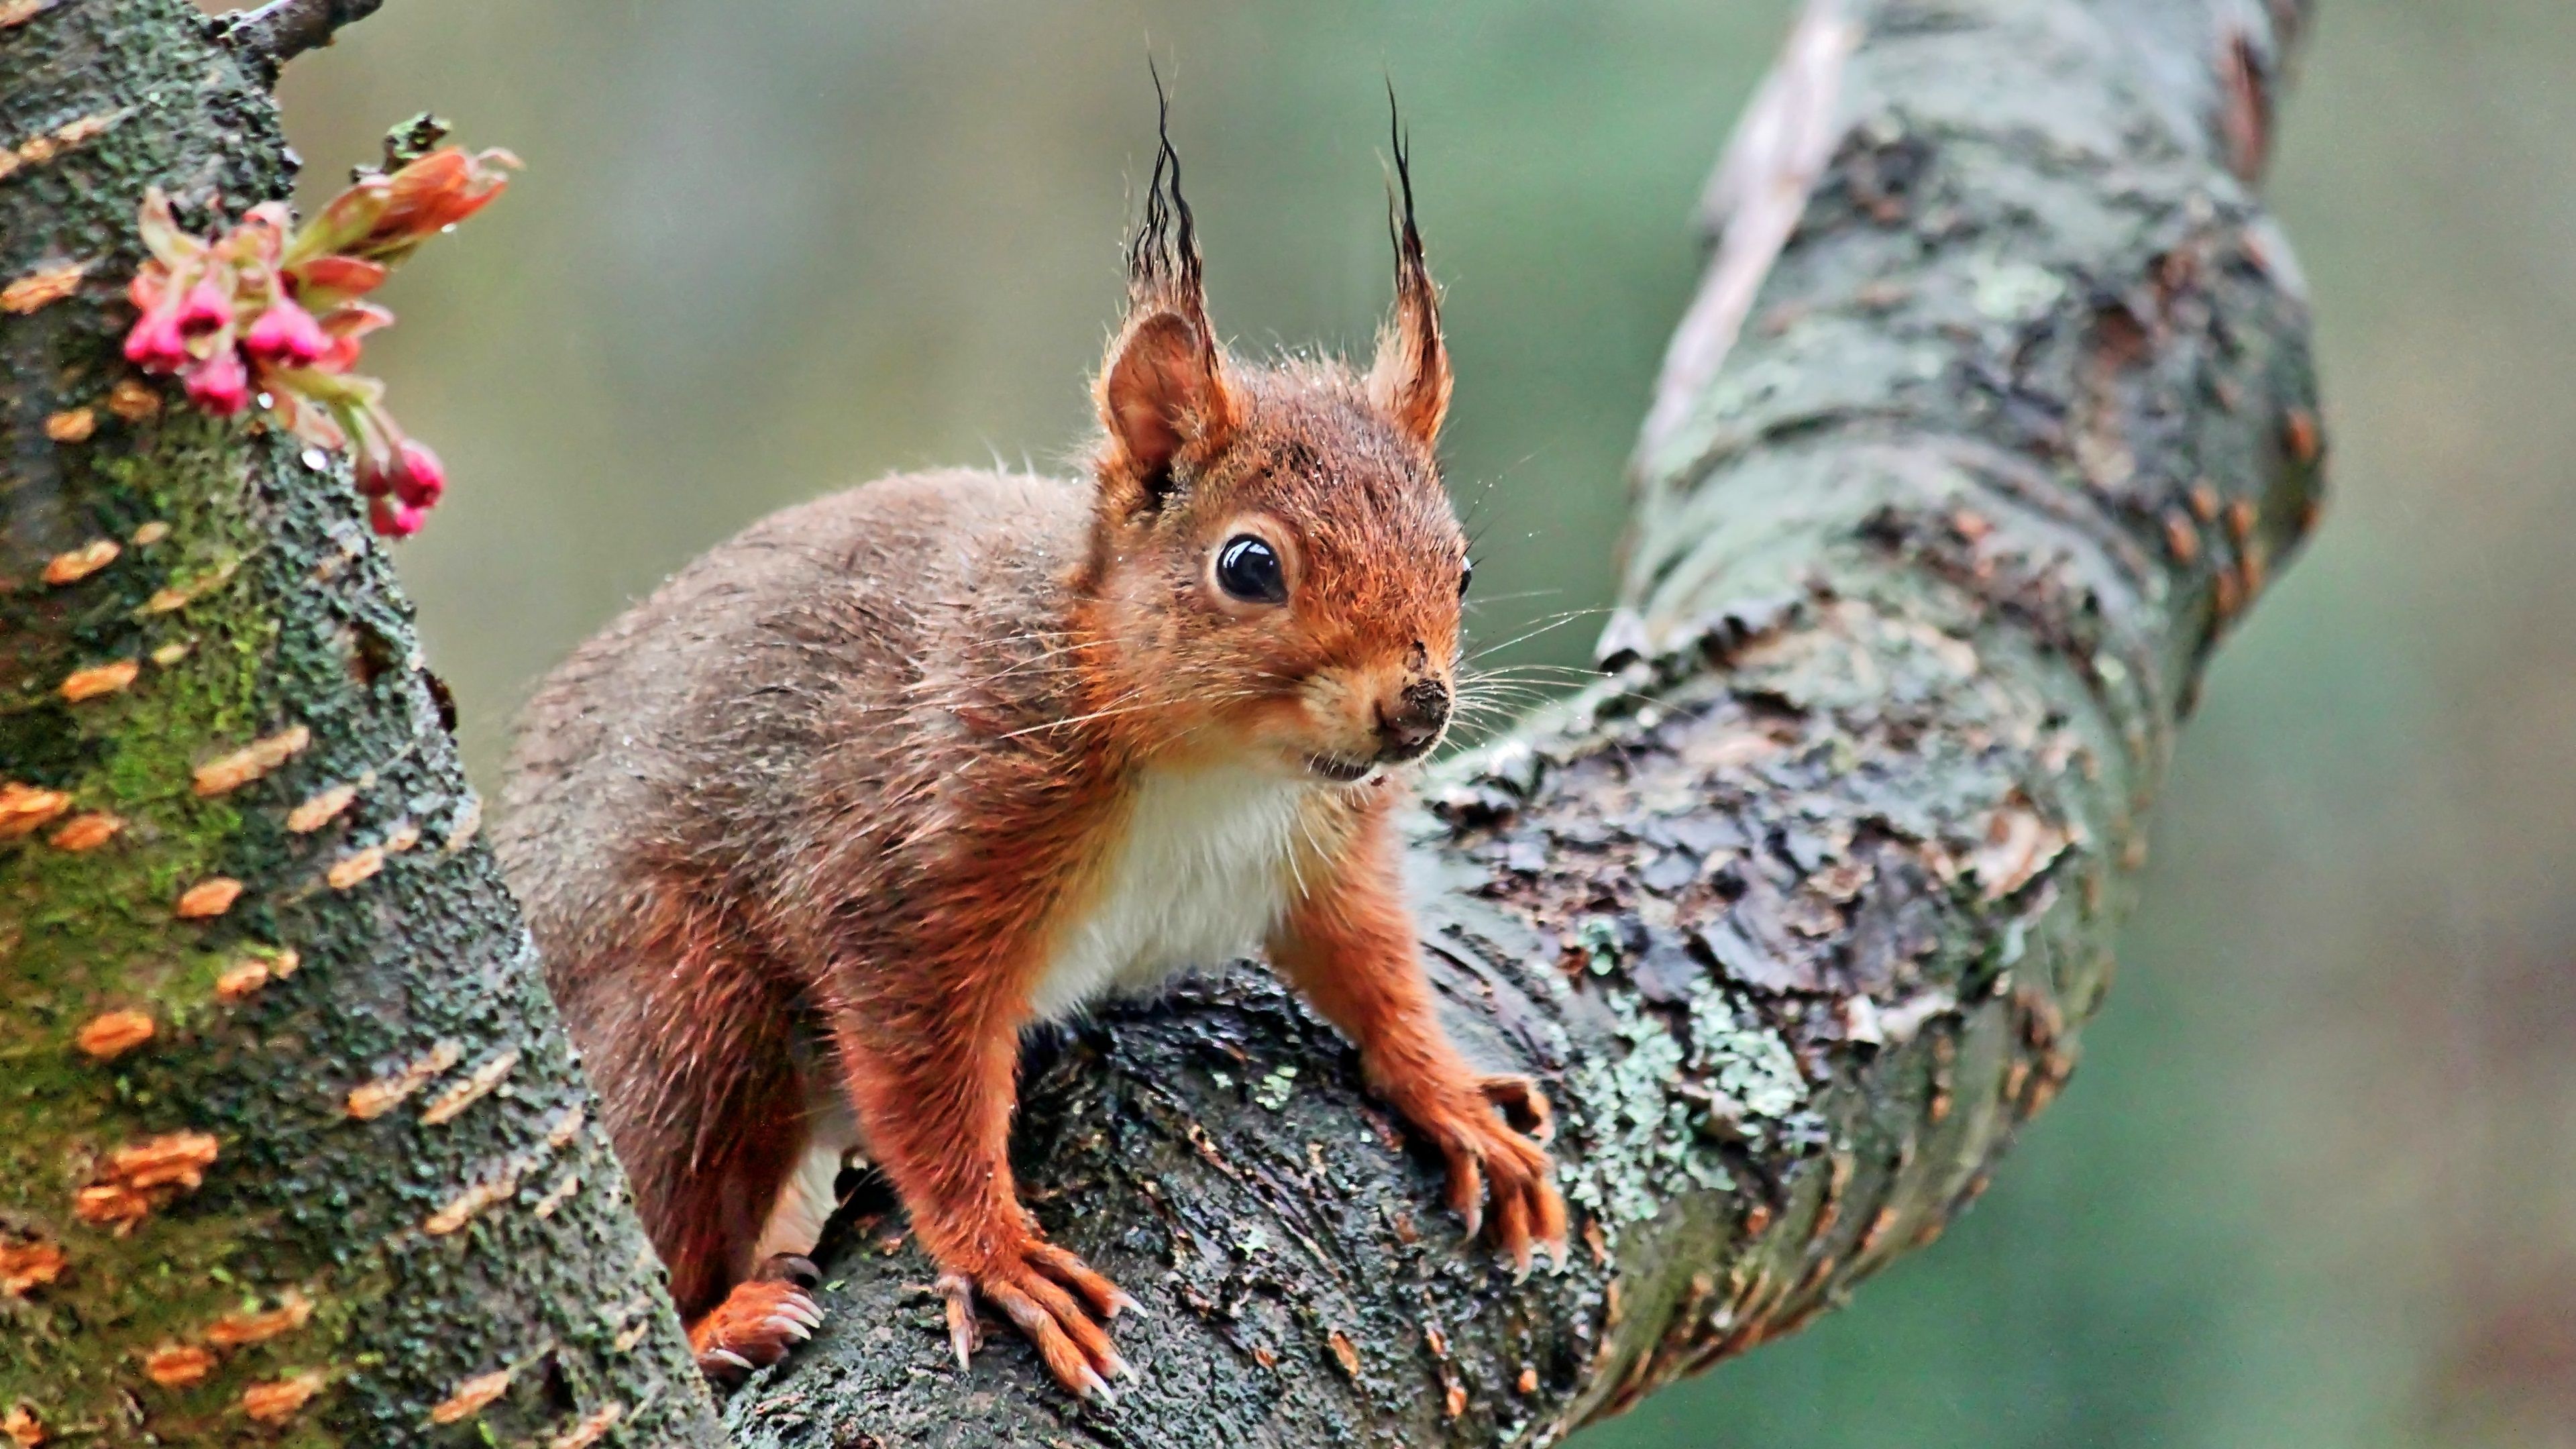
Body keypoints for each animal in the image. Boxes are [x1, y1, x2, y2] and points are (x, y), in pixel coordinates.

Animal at [495, 100, 1566, 1399]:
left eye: (1460, 568)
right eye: (1249, 565)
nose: (1417, 709)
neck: (1217, 774)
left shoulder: (1323, 850)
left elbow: (1370, 964)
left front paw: (1448, 1093)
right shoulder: (922, 856)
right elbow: (925, 1083)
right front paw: (998, 1255)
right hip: (680, 1011)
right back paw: (721, 1327)